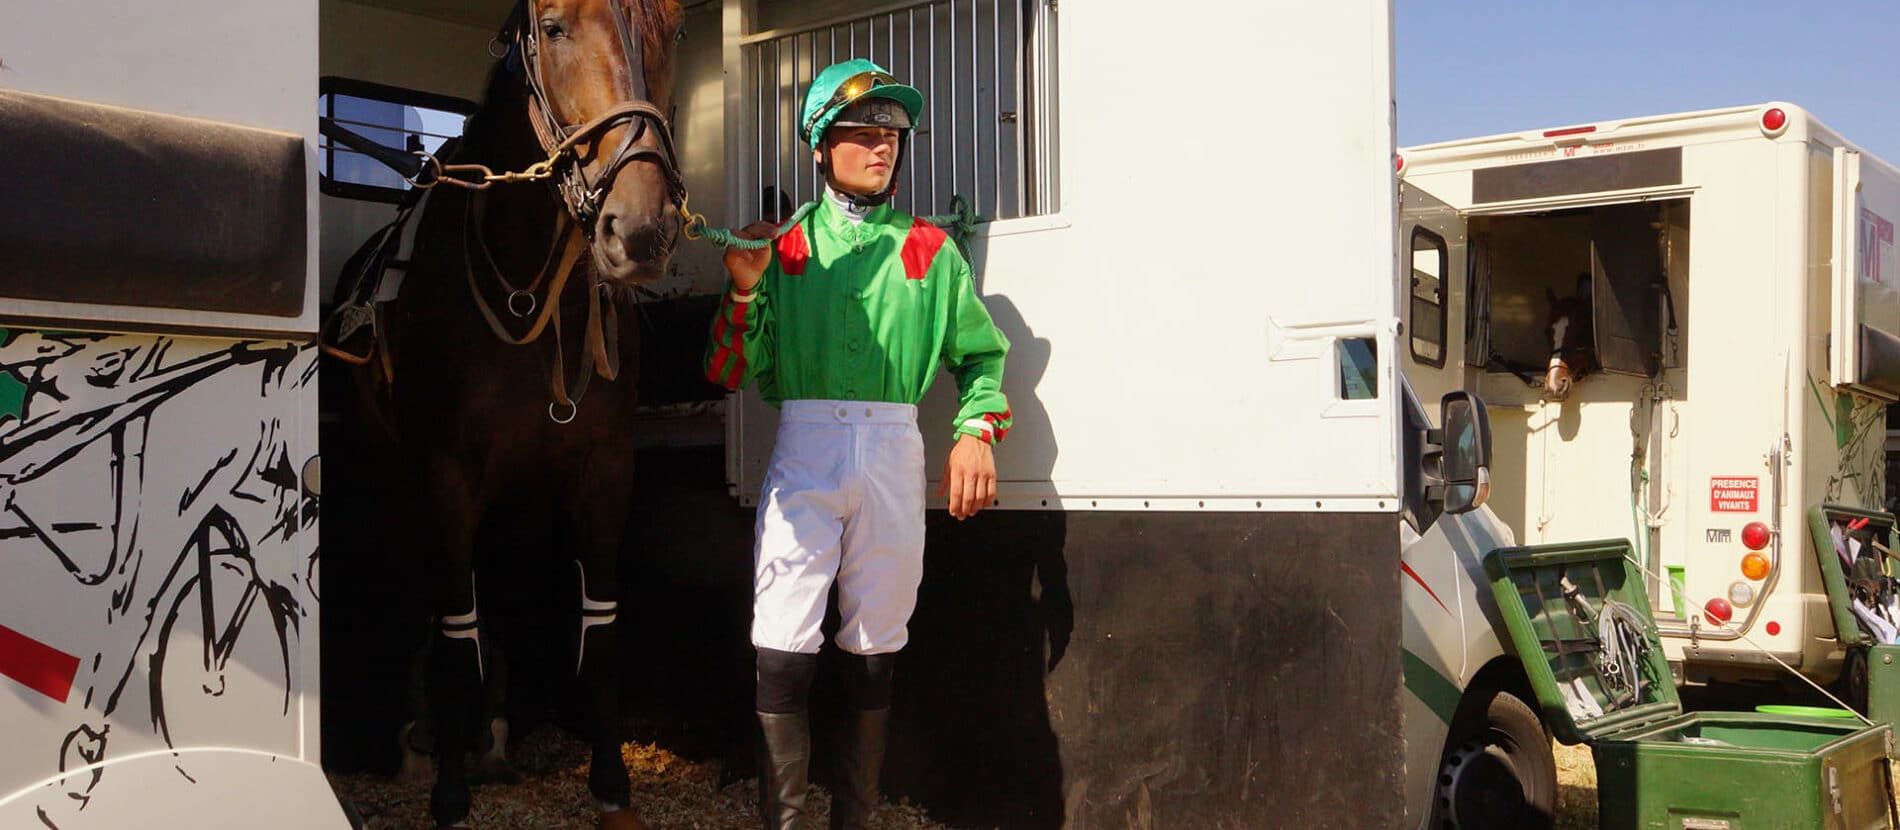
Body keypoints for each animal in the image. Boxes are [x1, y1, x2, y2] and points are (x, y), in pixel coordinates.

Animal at [357, 3, 684, 824]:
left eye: (673, 30)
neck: (533, 290)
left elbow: (599, 627)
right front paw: (448, 787)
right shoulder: (446, 472)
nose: (641, 229)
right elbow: (454, 635)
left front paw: (610, 781)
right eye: (556, 26)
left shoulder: (604, 469)